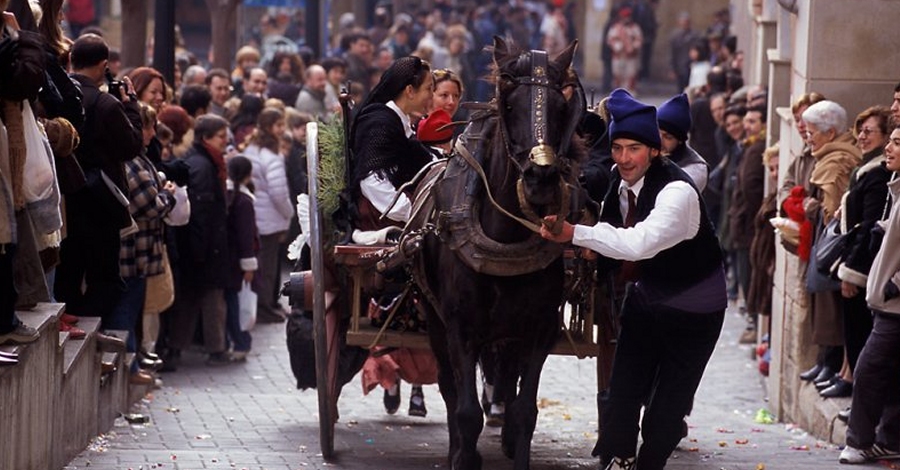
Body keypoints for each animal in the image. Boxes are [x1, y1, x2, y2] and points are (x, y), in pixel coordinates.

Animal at [410, 37, 592, 470]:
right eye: (509, 104)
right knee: (449, 388)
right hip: (436, 322)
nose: (541, 179)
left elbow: (525, 410)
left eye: (561, 107)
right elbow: (465, 411)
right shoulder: (460, 328)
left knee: (506, 383)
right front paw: (463, 455)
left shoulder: (539, 329)